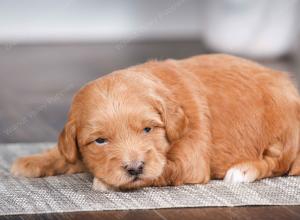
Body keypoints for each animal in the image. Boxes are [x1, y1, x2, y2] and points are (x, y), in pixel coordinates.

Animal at [10, 53, 300, 191]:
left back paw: (242, 171)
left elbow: (164, 169)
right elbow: (65, 153)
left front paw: (106, 183)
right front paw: (31, 161)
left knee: (277, 163)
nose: (134, 168)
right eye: (100, 141)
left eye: (148, 129)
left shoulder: (190, 160)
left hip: (283, 131)